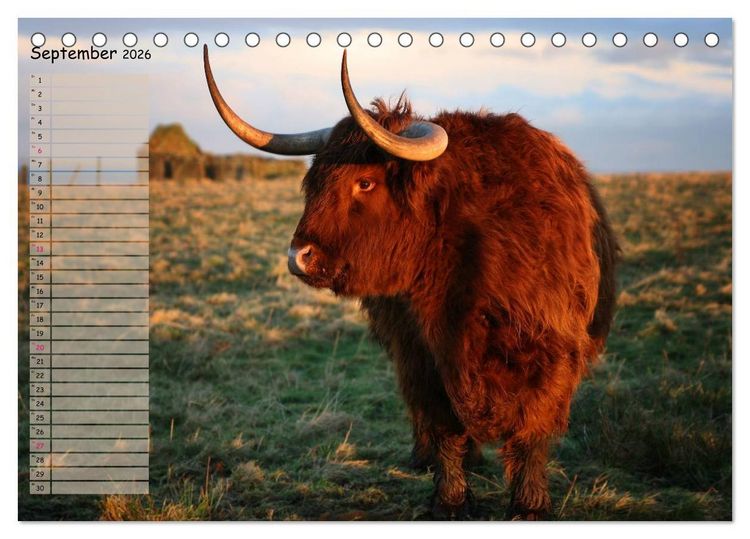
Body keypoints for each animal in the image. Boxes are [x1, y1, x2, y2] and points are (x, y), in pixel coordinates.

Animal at [203, 45, 619, 520]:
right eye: (314, 182)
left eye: (365, 182)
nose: (299, 258)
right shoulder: (420, 355)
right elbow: (444, 427)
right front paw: (450, 500)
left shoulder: (548, 352)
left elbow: (531, 431)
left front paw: (529, 506)